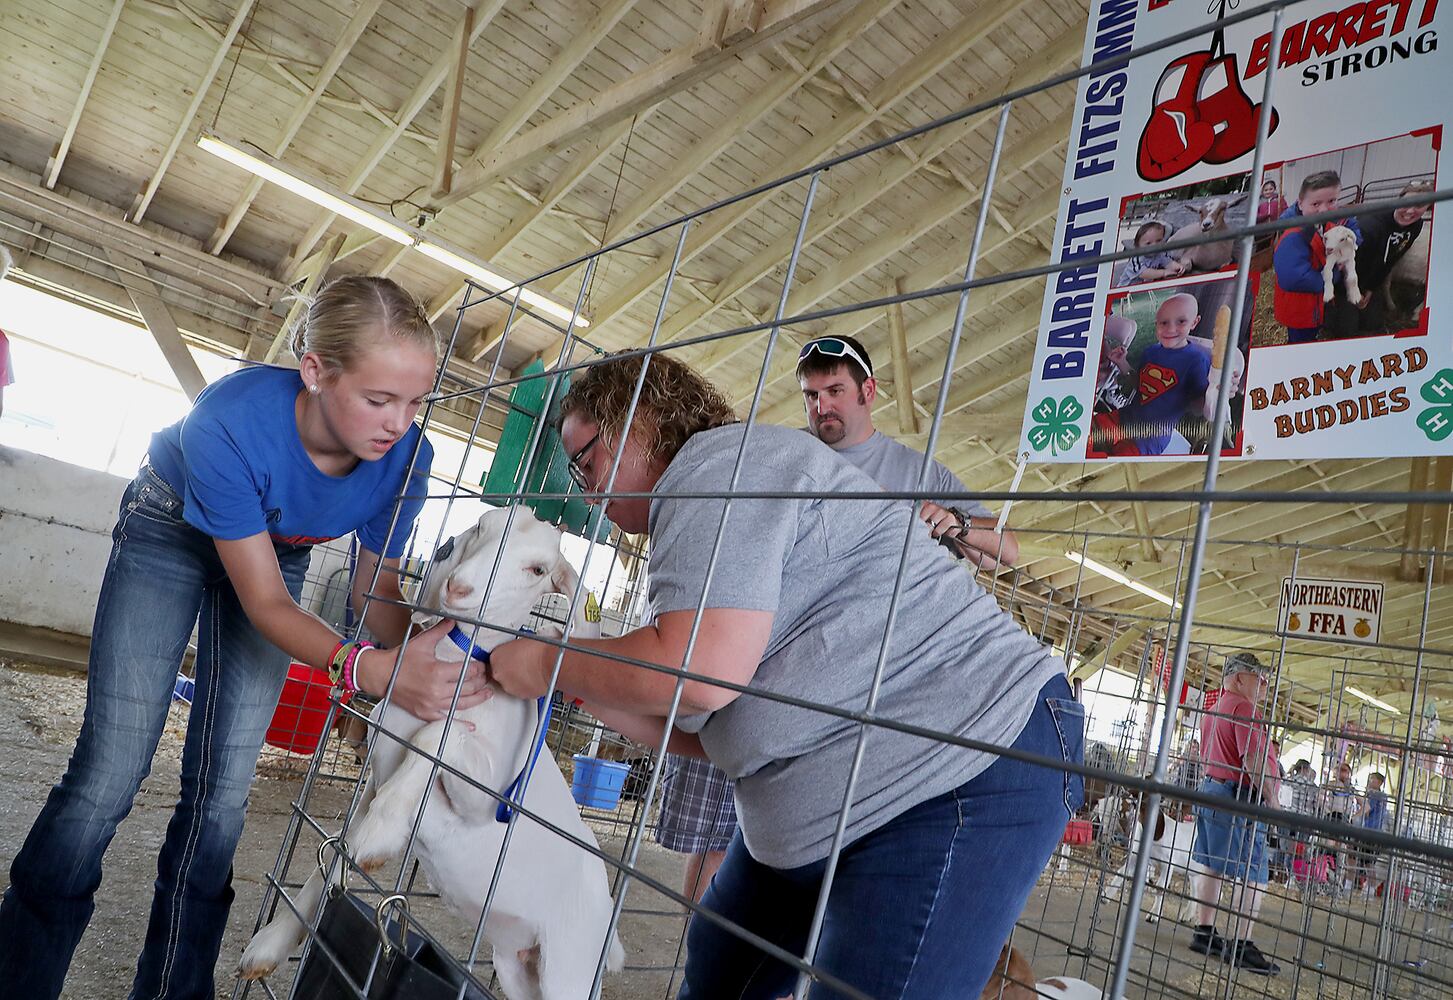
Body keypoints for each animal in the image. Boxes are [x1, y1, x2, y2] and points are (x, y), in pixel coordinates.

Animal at [238, 511, 624, 994]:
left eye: (537, 569)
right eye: (482, 528)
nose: (459, 587)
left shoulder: (485, 796)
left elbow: (440, 734)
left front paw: (380, 836)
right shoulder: (375, 778)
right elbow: (337, 854)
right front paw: (267, 947)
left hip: (570, 968)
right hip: (517, 966)